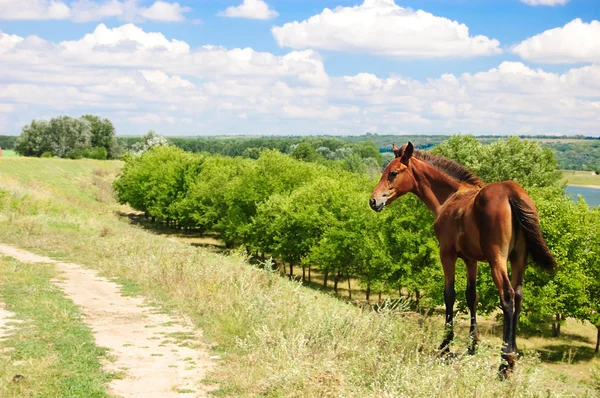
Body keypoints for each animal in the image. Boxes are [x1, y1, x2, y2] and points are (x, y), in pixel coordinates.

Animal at [370, 142, 556, 376]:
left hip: (498, 260)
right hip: (519, 259)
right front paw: (471, 345)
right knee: (519, 296)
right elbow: (471, 296)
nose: (373, 201)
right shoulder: (471, 259)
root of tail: (511, 193)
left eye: (393, 173)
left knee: (508, 297)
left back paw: (505, 362)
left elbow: (449, 294)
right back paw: (513, 356)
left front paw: (445, 344)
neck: (450, 198)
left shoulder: (447, 254)